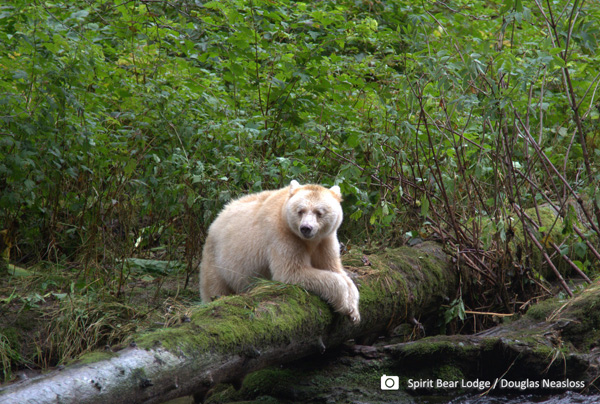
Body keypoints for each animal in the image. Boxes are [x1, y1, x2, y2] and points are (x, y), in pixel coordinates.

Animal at [202, 181, 360, 324]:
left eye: (319, 213)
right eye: (300, 211)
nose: (306, 228)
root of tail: (216, 219)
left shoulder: (325, 241)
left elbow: (335, 269)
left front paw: (354, 311)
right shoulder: (283, 235)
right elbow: (292, 272)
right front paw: (345, 304)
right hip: (217, 259)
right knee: (214, 286)